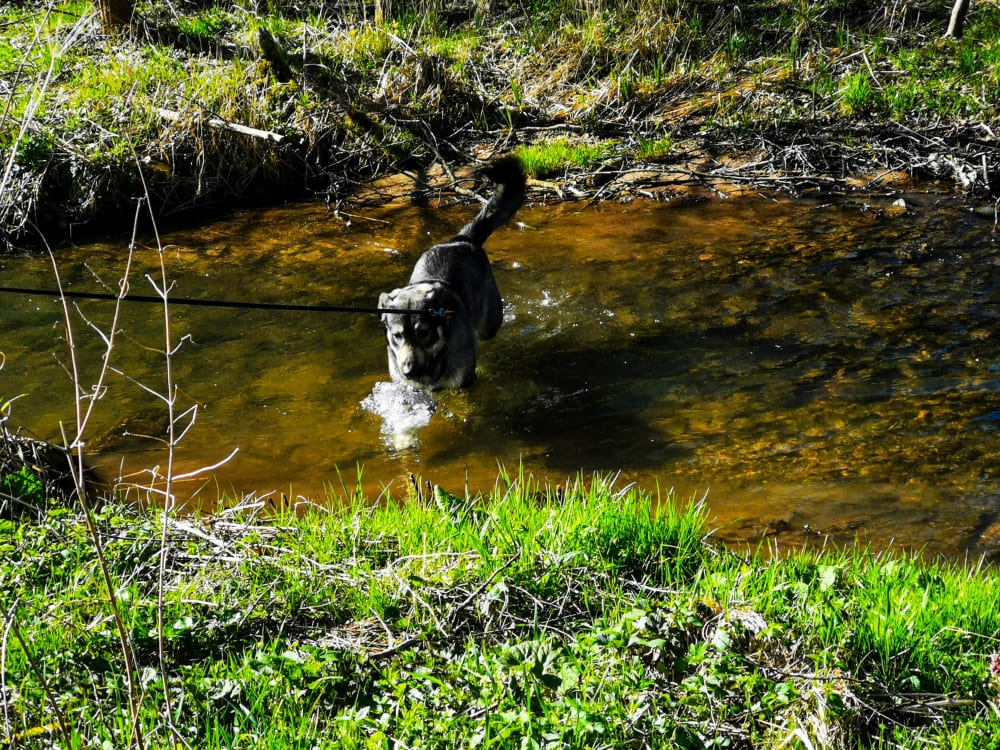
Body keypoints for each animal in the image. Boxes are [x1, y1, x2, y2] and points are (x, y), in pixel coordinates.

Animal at [378, 159, 528, 394]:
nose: (409, 371)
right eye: (397, 335)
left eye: (423, 333)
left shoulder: (463, 382)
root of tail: (462, 239)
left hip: (489, 321)